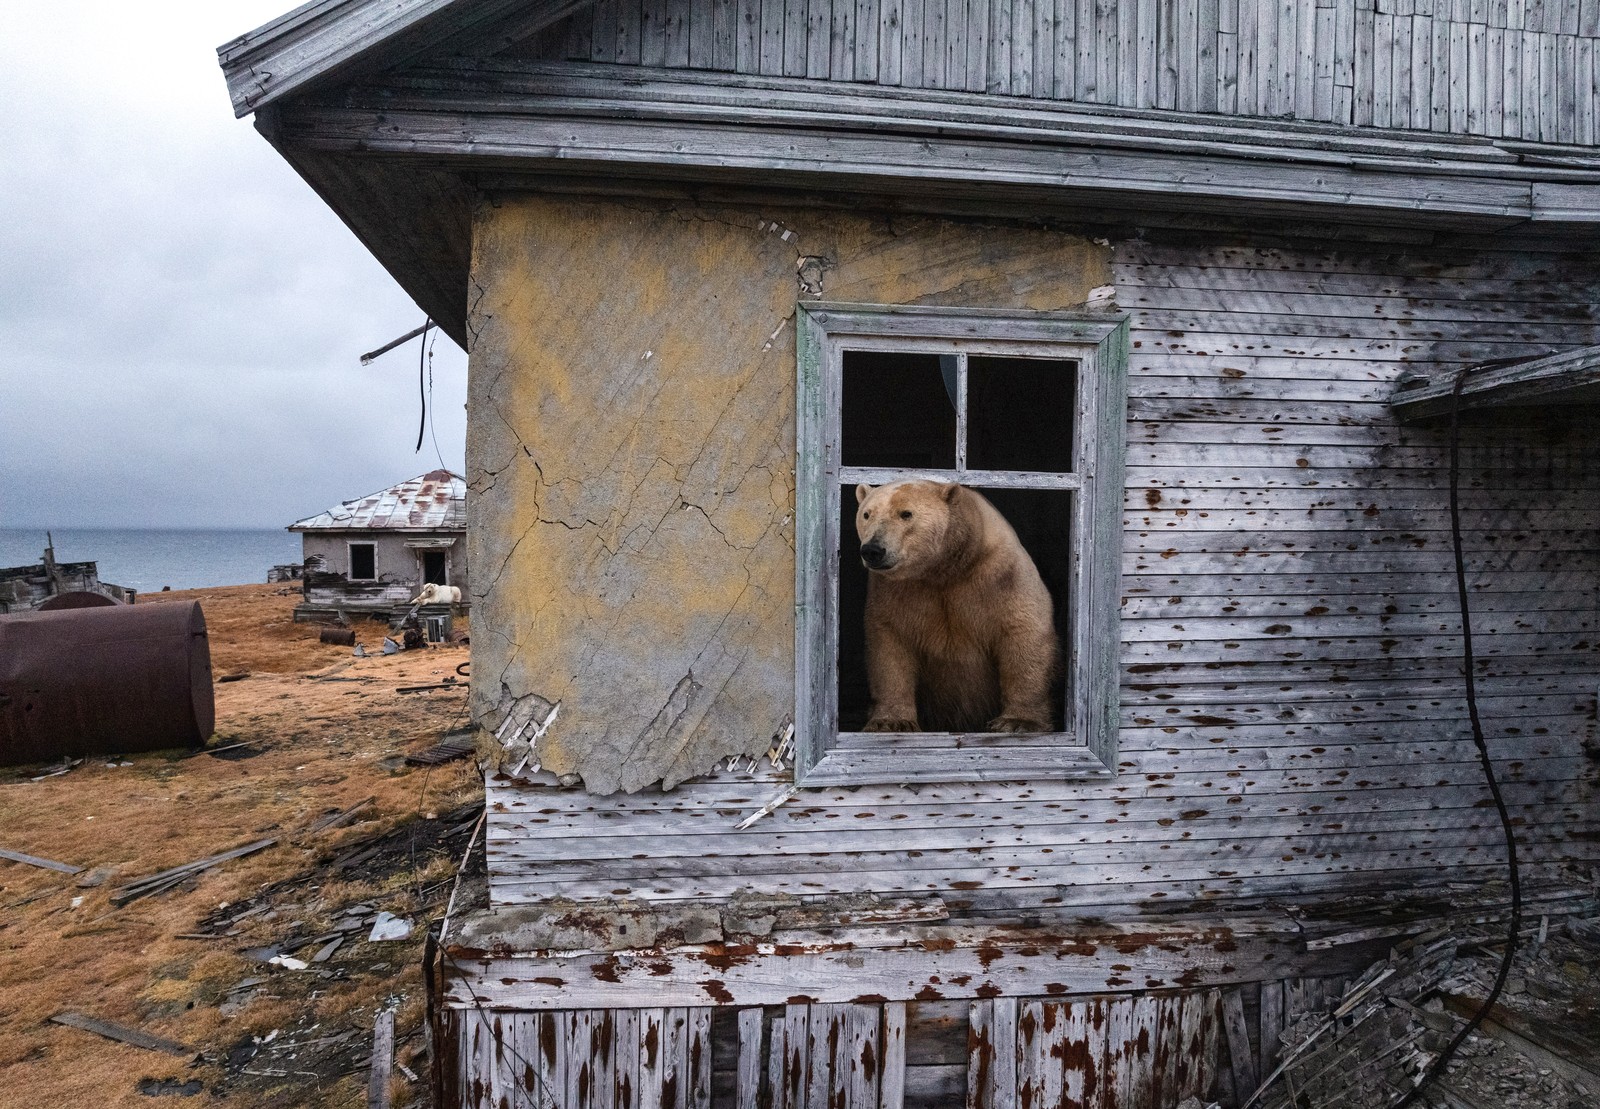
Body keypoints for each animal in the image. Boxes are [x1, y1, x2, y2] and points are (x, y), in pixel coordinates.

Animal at [854, 480, 1059, 734]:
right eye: (867, 514)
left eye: (906, 513)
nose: (873, 550)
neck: (946, 568)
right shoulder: (895, 591)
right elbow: (890, 645)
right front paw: (891, 722)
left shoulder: (1002, 575)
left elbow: (1023, 633)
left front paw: (1018, 722)